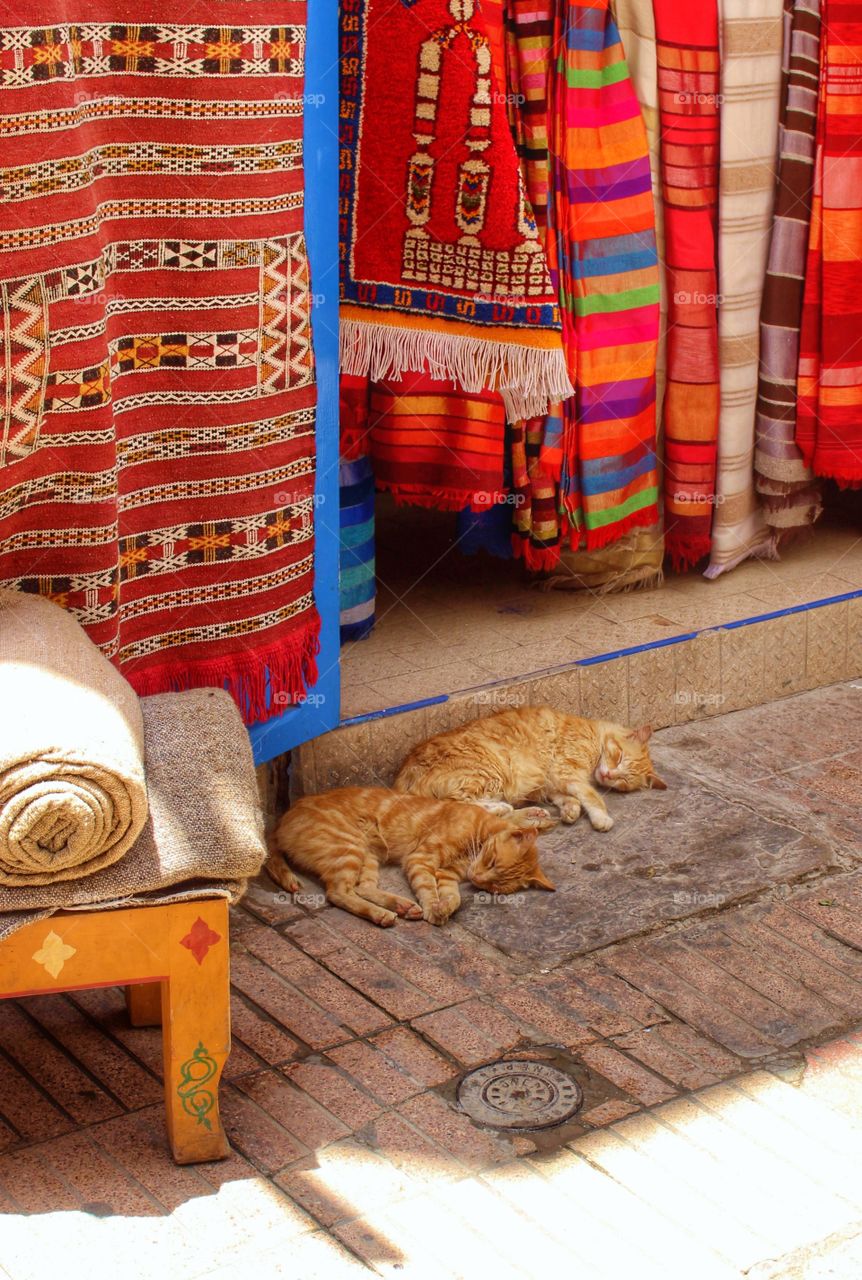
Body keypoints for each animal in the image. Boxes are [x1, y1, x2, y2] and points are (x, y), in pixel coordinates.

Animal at [265, 783, 555, 926]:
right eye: (492, 861)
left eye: (494, 888)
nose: (477, 880)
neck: (478, 834)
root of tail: (282, 819)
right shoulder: (421, 859)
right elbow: (427, 888)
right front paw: (433, 908)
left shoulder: (447, 875)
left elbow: (454, 898)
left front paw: (443, 908)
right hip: (348, 848)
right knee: (338, 893)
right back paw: (382, 914)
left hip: (366, 857)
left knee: (360, 888)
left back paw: (399, 906)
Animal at [391, 706, 666, 834]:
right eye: (618, 757)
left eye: (623, 781)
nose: (608, 775)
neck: (593, 734)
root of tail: (401, 779)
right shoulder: (566, 771)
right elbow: (591, 795)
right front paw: (601, 817)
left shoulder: (551, 782)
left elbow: (568, 798)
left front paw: (570, 809)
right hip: (491, 771)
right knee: (458, 805)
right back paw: (504, 808)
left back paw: (532, 815)